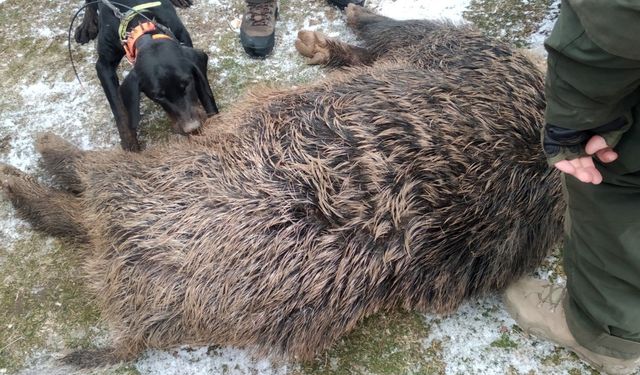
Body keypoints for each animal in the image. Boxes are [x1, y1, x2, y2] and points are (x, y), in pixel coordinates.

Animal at [75, 0, 218, 153]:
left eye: (186, 84)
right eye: (158, 96)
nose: (192, 128)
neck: (141, 27)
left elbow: (205, 91)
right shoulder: (104, 65)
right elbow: (119, 110)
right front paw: (130, 145)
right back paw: (87, 25)